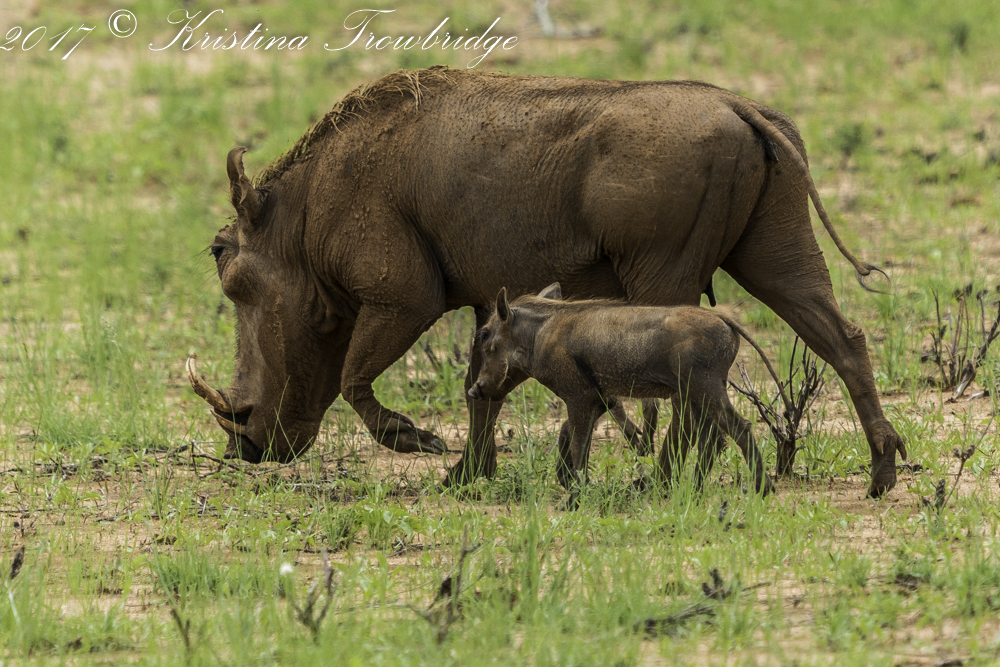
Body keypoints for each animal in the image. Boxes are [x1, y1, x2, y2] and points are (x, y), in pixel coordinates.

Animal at [468, 283, 790, 507]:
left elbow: (578, 445)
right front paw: (569, 483)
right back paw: (695, 491)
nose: (473, 391)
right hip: (697, 391)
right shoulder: (599, 398)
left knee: (736, 429)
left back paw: (762, 489)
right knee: (712, 438)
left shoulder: (578, 396)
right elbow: (570, 436)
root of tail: (724, 319)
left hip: (704, 386)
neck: (538, 336)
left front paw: (574, 498)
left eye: (485, 335)